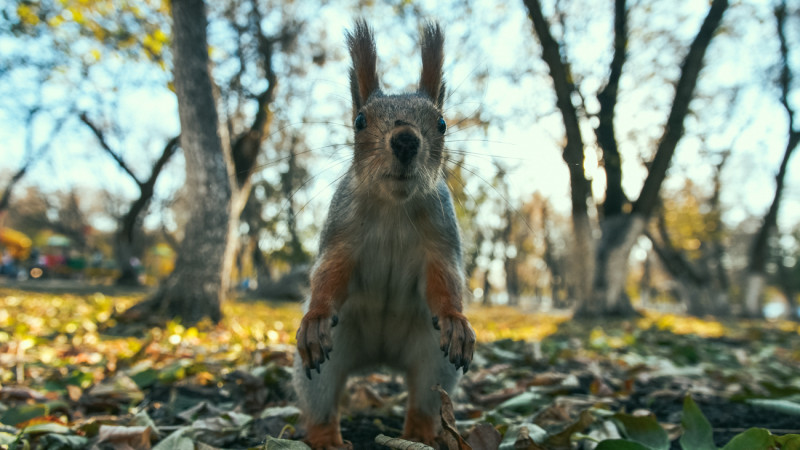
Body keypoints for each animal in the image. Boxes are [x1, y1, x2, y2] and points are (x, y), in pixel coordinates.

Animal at [296, 20, 478, 450]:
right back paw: (327, 438)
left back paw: (422, 435)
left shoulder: (441, 236)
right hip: (332, 355)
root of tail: (379, 358)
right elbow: (329, 272)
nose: (406, 140)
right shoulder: (341, 230)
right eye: (360, 121)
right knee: (321, 398)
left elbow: (445, 278)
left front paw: (455, 316)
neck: (395, 207)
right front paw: (316, 312)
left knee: (426, 396)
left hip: (432, 357)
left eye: (442, 123)